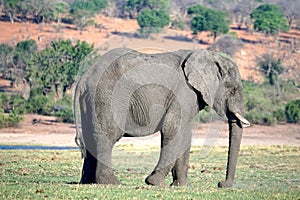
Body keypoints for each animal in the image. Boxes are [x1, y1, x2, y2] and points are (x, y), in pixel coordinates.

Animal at [74, 47, 250, 188]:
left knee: (91, 136)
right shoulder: (184, 92)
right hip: (108, 96)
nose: (222, 184)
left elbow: (185, 133)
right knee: (108, 135)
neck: (212, 57)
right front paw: (155, 183)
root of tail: (84, 78)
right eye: (233, 89)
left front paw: (181, 186)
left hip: (92, 100)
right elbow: (172, 129)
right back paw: (112, 183)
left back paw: (88, 182)